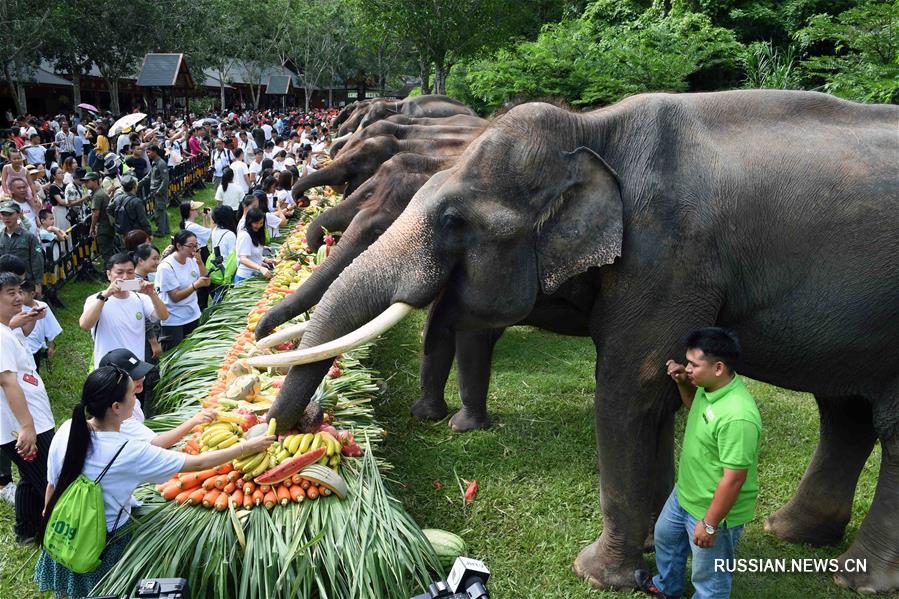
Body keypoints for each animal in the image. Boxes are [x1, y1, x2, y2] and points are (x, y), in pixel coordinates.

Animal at [251, 90, 899, 596]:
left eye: (454, 221)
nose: (301, 424)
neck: (593, 130)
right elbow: (657, 395)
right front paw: (653, 545)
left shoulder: (667, 257)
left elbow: (629, 388)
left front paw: (597, 573)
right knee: (844, 412)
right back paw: (792, 533)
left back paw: (857, 578)